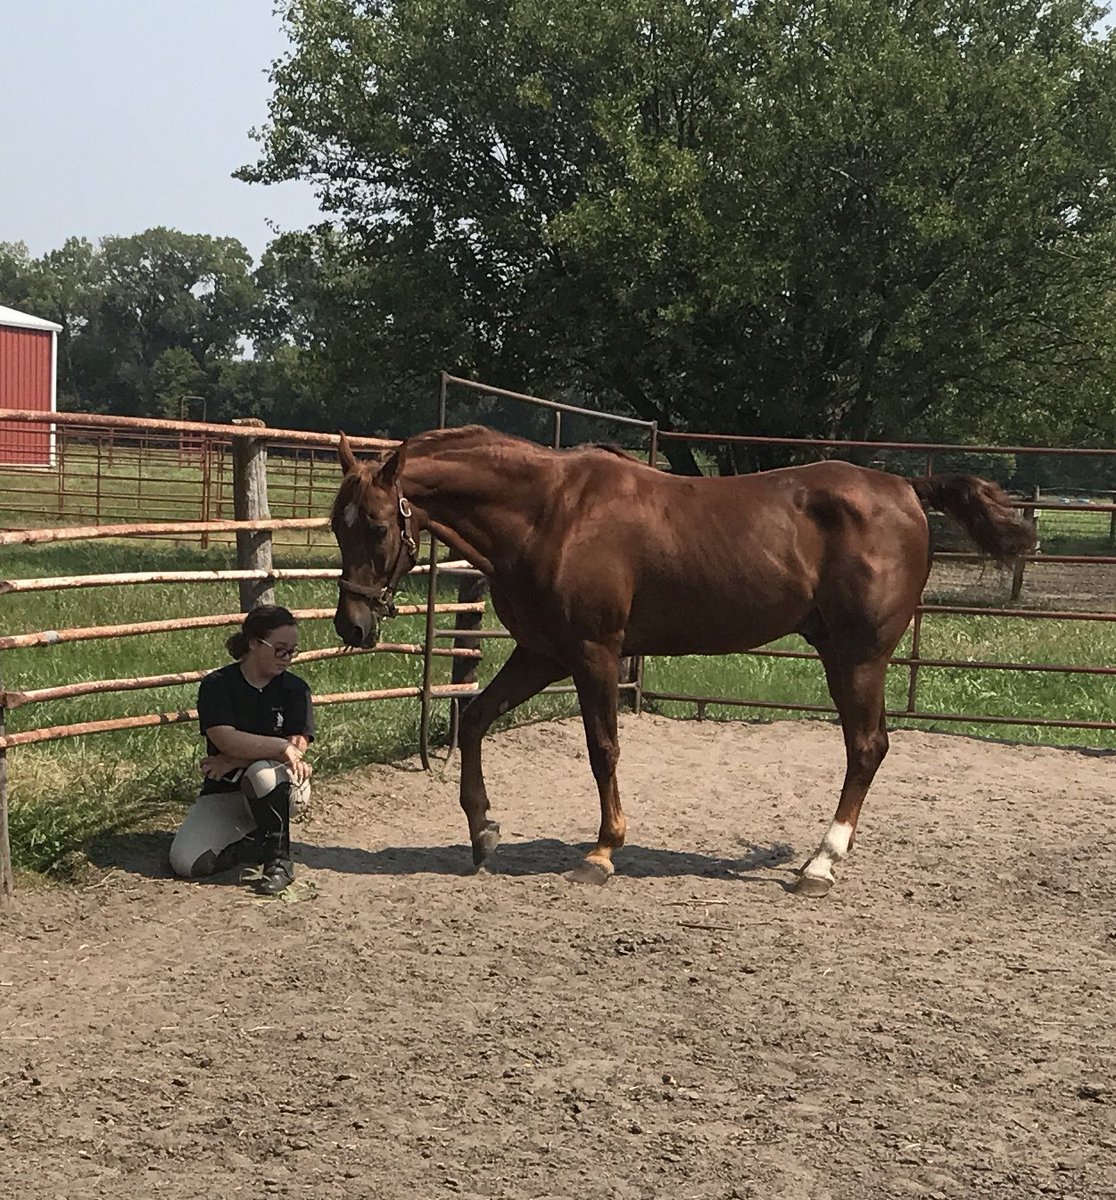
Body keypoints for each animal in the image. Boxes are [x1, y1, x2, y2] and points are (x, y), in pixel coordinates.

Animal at [330, 424, 1034, 896]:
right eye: (338, 526)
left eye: (376, 525)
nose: (352, 625)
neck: (550, 514)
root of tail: (908, 488)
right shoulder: (543, 653)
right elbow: (475, 719)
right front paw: (482, 832)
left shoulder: (594, 653)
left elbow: (603, 749)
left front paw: (602, 852)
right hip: (844, 655)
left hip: (858, 657)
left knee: (866, 748)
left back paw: (820, 864)